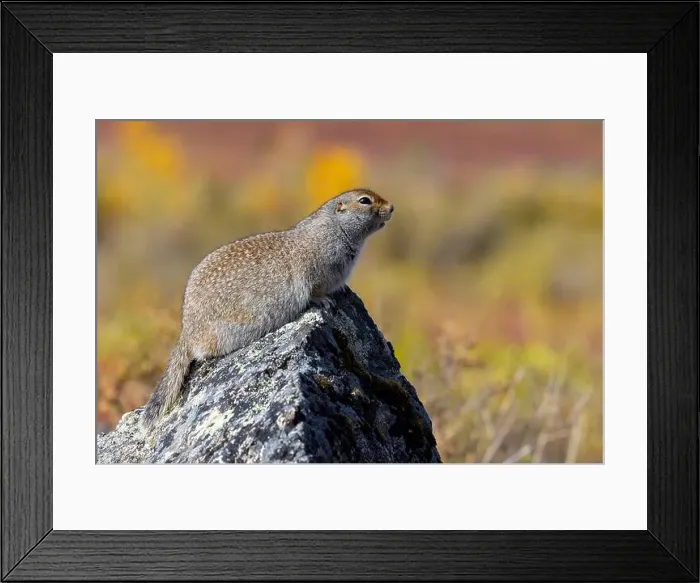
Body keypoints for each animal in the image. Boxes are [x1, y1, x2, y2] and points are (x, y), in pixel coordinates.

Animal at [140, 188, 394, 429]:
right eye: (364, 201)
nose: (392, 207)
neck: (335, 228)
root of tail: (187, 331)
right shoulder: (316, 272)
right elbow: (314, 291)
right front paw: (325, 301)